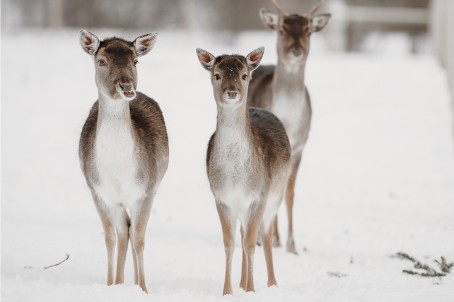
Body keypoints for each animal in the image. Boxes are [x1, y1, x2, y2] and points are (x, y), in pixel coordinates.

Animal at [196, 47, 290, 294]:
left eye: (244, 75)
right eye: (217, 75)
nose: (232, 92)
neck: (237, 177)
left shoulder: (259, 196)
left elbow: (250, 243)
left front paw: (251, 291)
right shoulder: (222, 198)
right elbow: (230, 243)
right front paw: (228, 291)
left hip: (276, 196)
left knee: (265, 235)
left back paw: (272, 283)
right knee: (244, 233)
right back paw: (241, 281)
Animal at [247, 0, 332, 254]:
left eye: (308, 31)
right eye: (282, 29)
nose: (296, 50)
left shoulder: (300, 145)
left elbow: (290, 193)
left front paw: (292, 244)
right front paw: (275, 239)